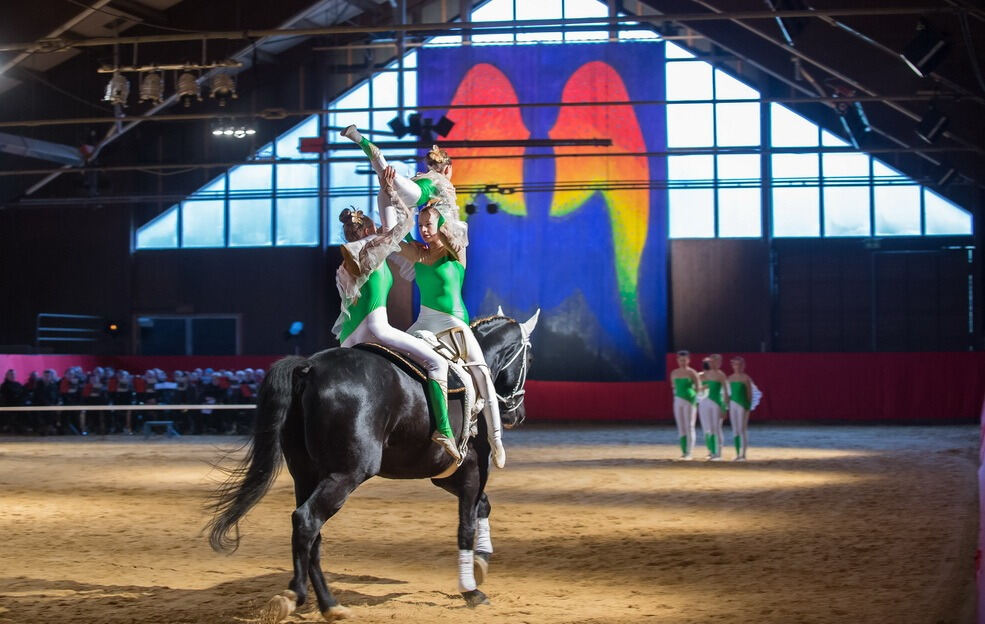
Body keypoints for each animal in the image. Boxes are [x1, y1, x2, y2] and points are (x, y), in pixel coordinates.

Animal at [203, 314, 536, 620]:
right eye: (530, 359)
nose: (517, 414)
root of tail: (309, 368)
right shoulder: (471, 471)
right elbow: (466, 525)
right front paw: (471, 589)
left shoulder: (445, 475)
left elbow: (484, 506)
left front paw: (481, 562)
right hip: (346, 474)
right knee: (307, 520)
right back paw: (303, 597)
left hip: (306, 474)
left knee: (310, 533)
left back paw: (321, 602)